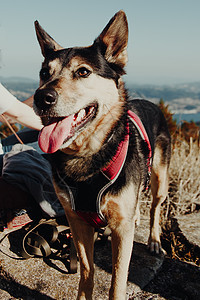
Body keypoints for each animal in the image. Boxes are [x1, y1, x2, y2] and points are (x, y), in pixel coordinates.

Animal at [34, 10, 170, 300]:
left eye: (83, 72)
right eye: (44, 72)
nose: (41, 98)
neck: (87, 155)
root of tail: (151, 103)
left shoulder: (121, 231)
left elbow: (117, 281)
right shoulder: (77, 220)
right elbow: (86, 271)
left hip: (160, 178)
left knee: (155, 207)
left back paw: (154, 240)